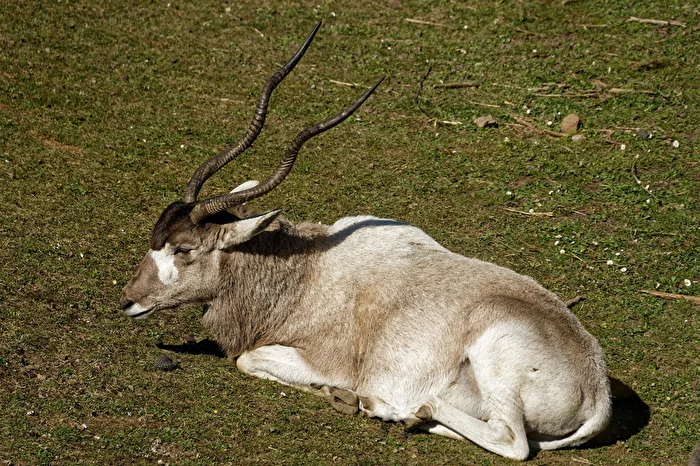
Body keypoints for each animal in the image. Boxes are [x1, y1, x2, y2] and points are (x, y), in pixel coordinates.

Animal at [120, 22, 612, 460]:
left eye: (184, 249)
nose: (128, 299)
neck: (305, 272)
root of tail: (599, 395)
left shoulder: (325, 359)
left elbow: (247, 359)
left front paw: (340, 391)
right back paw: (392, 411)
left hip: (496, 355)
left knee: (513, 442)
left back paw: (385, 403)